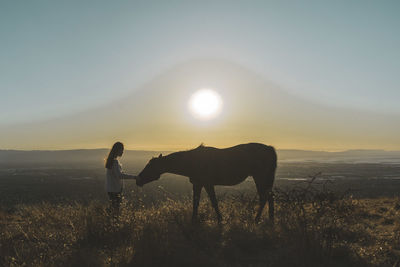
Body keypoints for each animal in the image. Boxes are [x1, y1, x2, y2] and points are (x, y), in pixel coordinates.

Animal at [136, 143, 276, 223]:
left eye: (150, 166)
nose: (138, 179)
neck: (192, 161)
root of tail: (270, 149)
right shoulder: (197, 184)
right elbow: (195, 203)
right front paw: (193, 220)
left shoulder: (207, 184)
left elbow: (213, 201)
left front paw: (220, 219)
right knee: (269, 196)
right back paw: (270, 219)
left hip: (260, 177)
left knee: (264, 197)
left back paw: (257, 219)